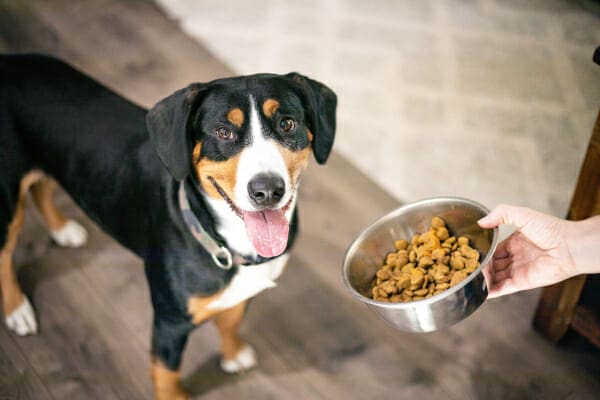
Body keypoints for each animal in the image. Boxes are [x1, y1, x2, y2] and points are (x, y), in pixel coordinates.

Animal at [0, 54, 338, 400]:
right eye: (223, 132)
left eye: (287, 123)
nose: (268, 190)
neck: (227, 242)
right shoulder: (169, 322)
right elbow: (166, 372)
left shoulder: (241, 293)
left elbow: (231, 320)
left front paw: (232, 353)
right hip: (6, 196)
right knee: (4, 254)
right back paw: (17, 309)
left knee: (41, 187)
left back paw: (62, 229)